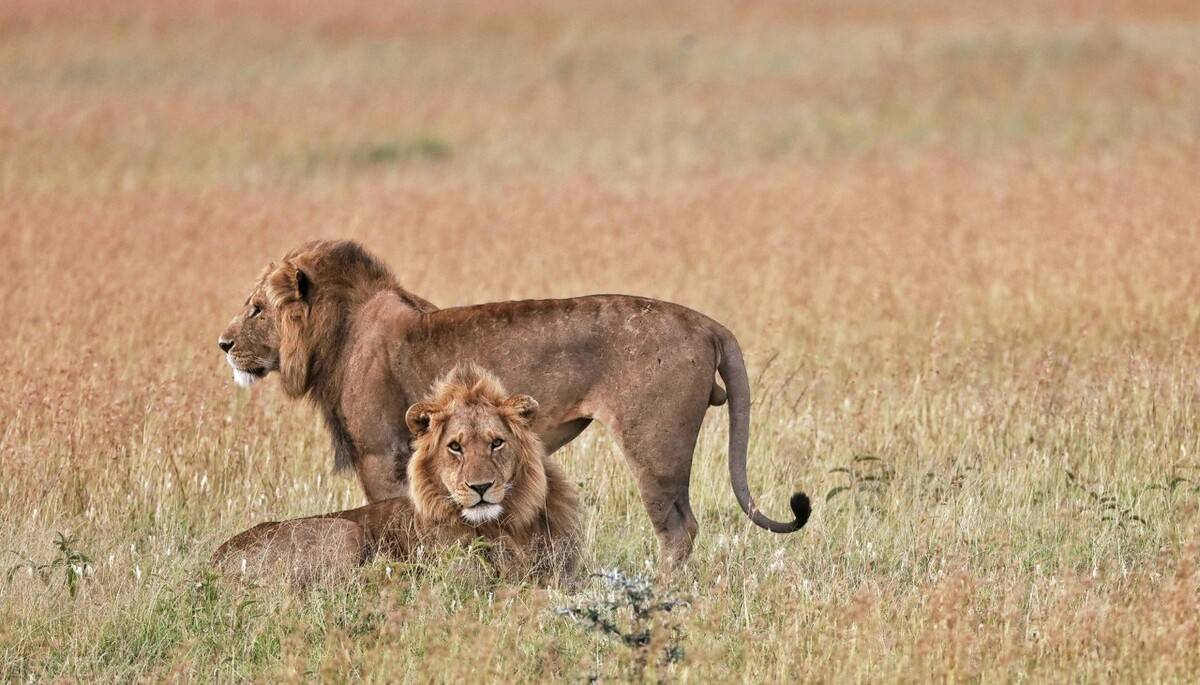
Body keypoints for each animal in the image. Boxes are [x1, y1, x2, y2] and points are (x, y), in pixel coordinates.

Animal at [213, 364, 583, 585]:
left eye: (496, 443)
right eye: (455, 447)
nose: (480, 487)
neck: (506, 524)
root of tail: (214, 562)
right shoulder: (467, 578)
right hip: (345, 532)